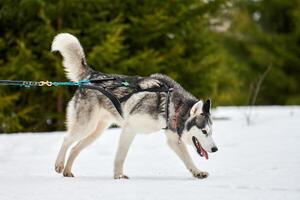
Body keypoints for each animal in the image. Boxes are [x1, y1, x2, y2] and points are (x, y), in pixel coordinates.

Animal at [51, 33, 218, 180]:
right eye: (204, 131)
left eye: (211, 132)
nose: (215, 149)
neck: (171, 104)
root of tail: (92, 75)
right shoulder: (129, 129)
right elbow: (120, 156)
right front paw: (119, 176)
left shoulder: (172, 139)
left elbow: (188, 160)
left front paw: (198, 172)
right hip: (85, 126)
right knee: (66, 139)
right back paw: (59, 164)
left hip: (95, 132)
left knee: (75, 148)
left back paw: (67, 171)